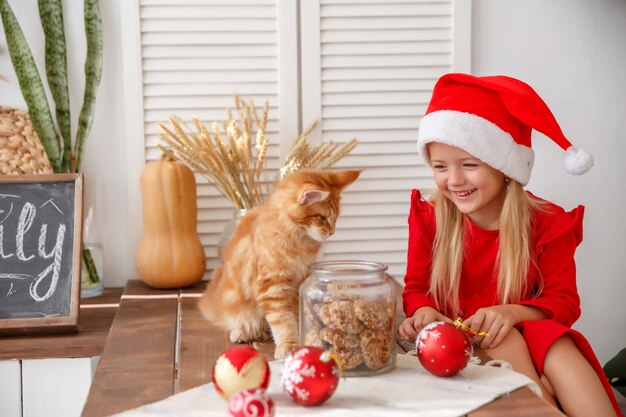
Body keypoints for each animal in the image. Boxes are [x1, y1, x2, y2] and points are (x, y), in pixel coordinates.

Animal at [197, 169, 358, 358]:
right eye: (322, 217)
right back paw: (243, 332)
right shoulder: (272, 285)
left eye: (335, 218)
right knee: (240, 320)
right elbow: (283, 320)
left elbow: (299, 312)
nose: (332, 232)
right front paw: (289, 344)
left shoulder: (301, 280)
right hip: (237, 303)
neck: (298, 239)